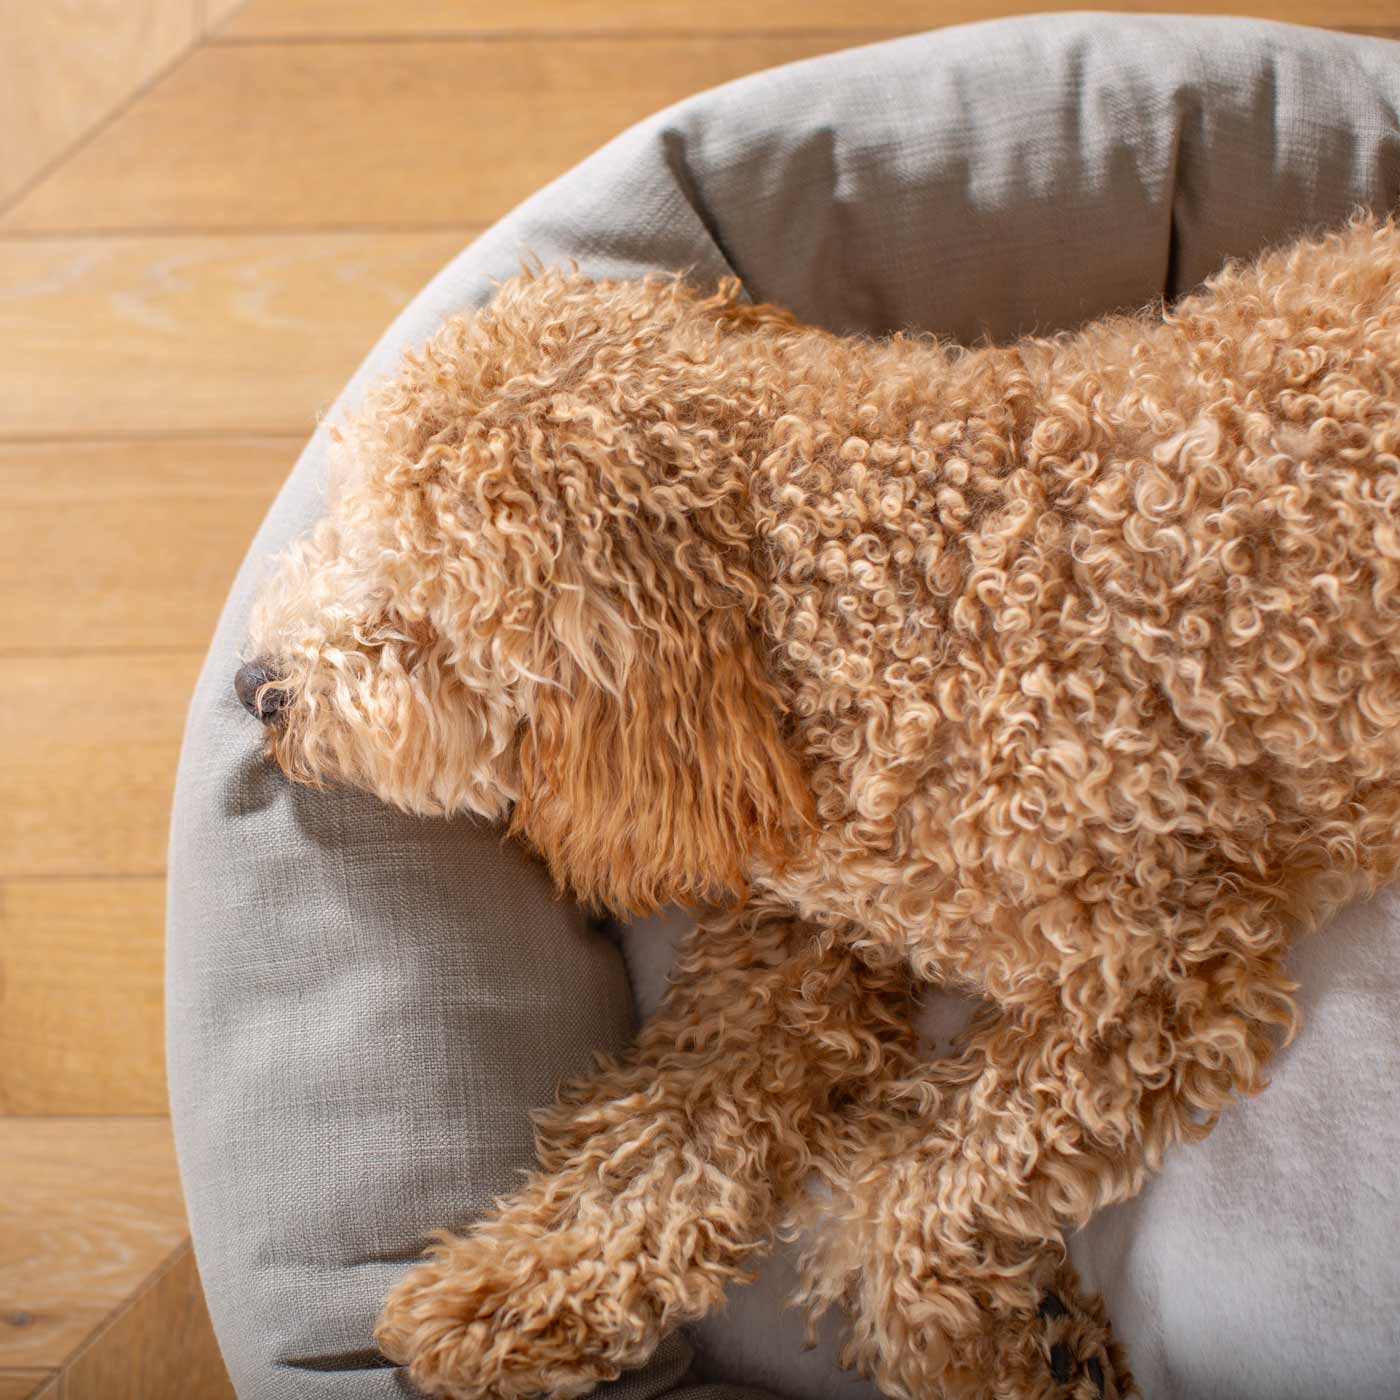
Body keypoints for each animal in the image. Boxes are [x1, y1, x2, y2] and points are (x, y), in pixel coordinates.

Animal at [238, 210, 1400, 1400]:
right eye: (343, 522)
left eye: (415, 623)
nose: (255, 688)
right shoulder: (801, 934)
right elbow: (676, 1125)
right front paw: (518, 1287)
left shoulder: (1161, 966)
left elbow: (907, 1192)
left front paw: (1004, 1351)